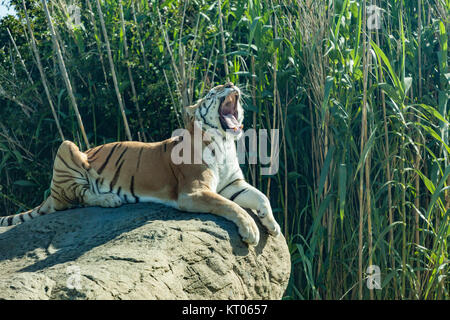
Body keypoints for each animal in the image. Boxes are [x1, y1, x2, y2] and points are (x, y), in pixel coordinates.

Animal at [0, 82, 280, 245]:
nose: (231, 83)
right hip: (67, 148)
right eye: (213, 92)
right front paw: (251, 230)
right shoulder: (194, 192)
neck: (224, 143)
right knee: (74, 199)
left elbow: (262, 197)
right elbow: (231, 207)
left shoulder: (233, 184)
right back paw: (109, 199)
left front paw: (272, 225)